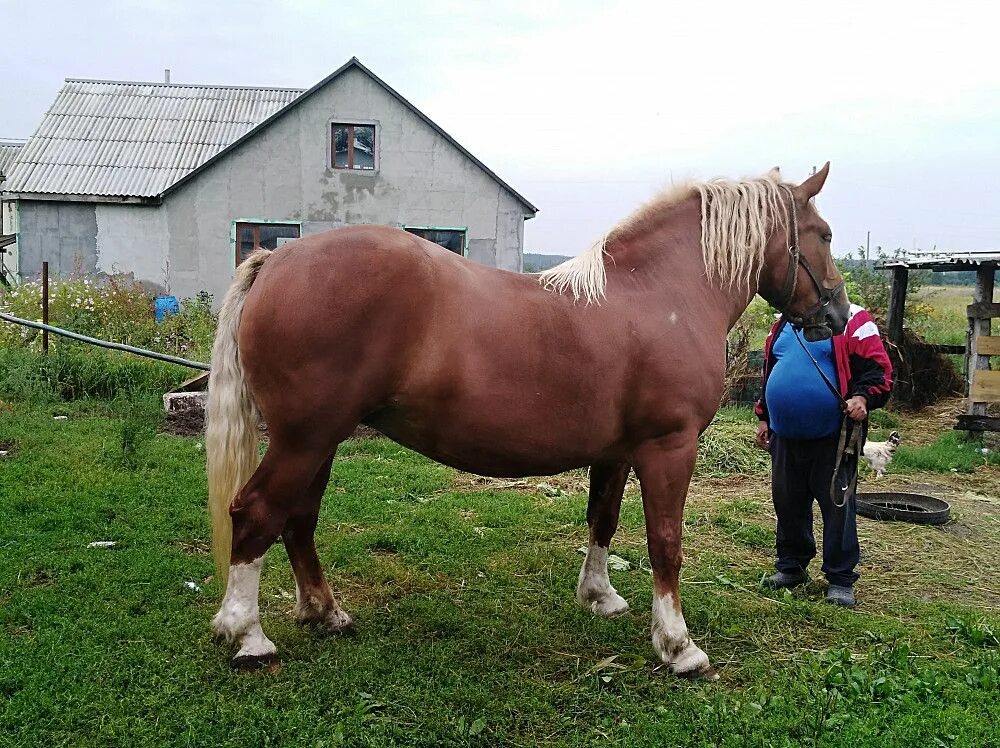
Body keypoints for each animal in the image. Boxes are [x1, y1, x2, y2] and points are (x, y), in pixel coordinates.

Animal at [207, 164, 848, 676]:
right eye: (823, 235)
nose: (838, 315)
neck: (658, 294)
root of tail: (278, 257)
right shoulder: (670, 446)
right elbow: (665, 542)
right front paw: (677, 645)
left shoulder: (616, 451)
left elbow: (602, 521)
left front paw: (600, 597)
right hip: (304, 439)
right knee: (256, 512)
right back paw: (247, 635)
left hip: (319, 440)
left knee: (298, 519)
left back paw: (325, 612)